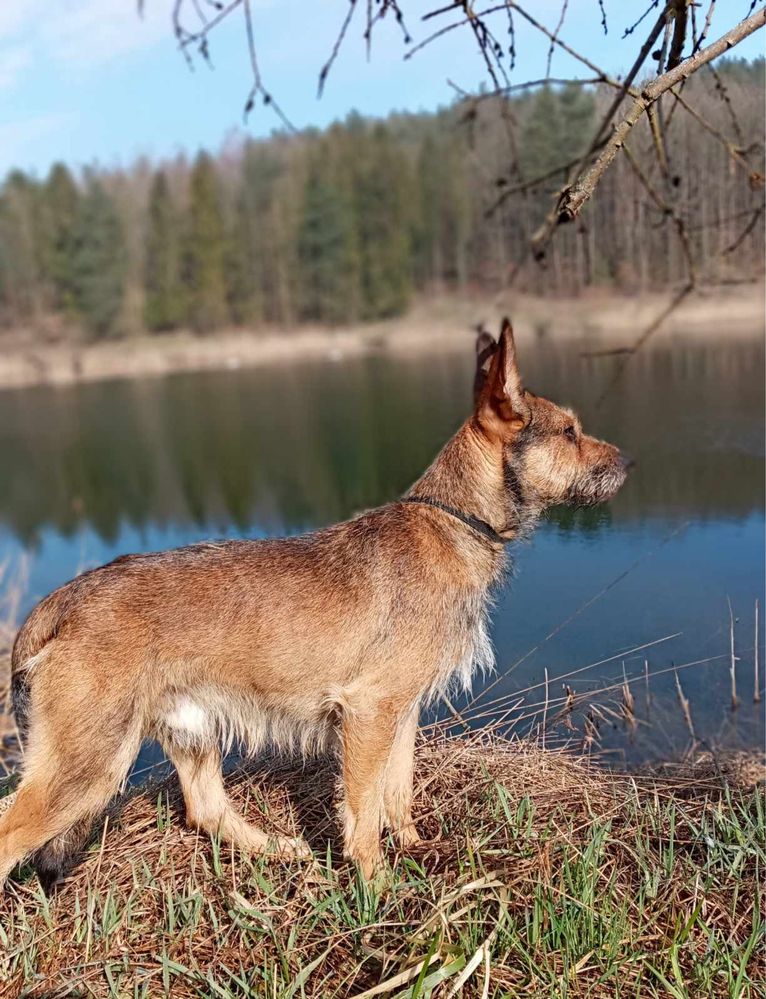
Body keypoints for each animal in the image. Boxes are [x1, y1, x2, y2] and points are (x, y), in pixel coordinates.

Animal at [1, 316, 632, 888]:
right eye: (569, 433)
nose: (629, 463)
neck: (453, 521)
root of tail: (60, 601)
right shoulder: (368, 711)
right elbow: (363, 810)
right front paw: (376, 886)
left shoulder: (400, 713)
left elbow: (397, 793)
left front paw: (416, 848)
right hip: (87, 764)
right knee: (13, 836)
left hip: (191, 727)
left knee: (207, 810)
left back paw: (283, 850)